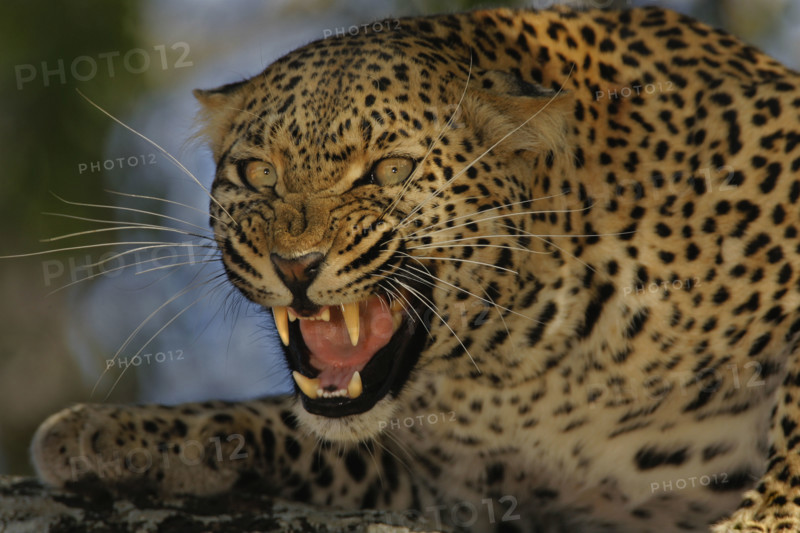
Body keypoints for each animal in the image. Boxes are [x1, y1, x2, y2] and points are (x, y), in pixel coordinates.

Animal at [29, 5, 800, 532]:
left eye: (391, 170)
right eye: (260, 174)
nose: (294, 264)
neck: (521, 370)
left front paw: (763, 514)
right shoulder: (457, 480)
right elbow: (274, 420)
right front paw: (109, 432)